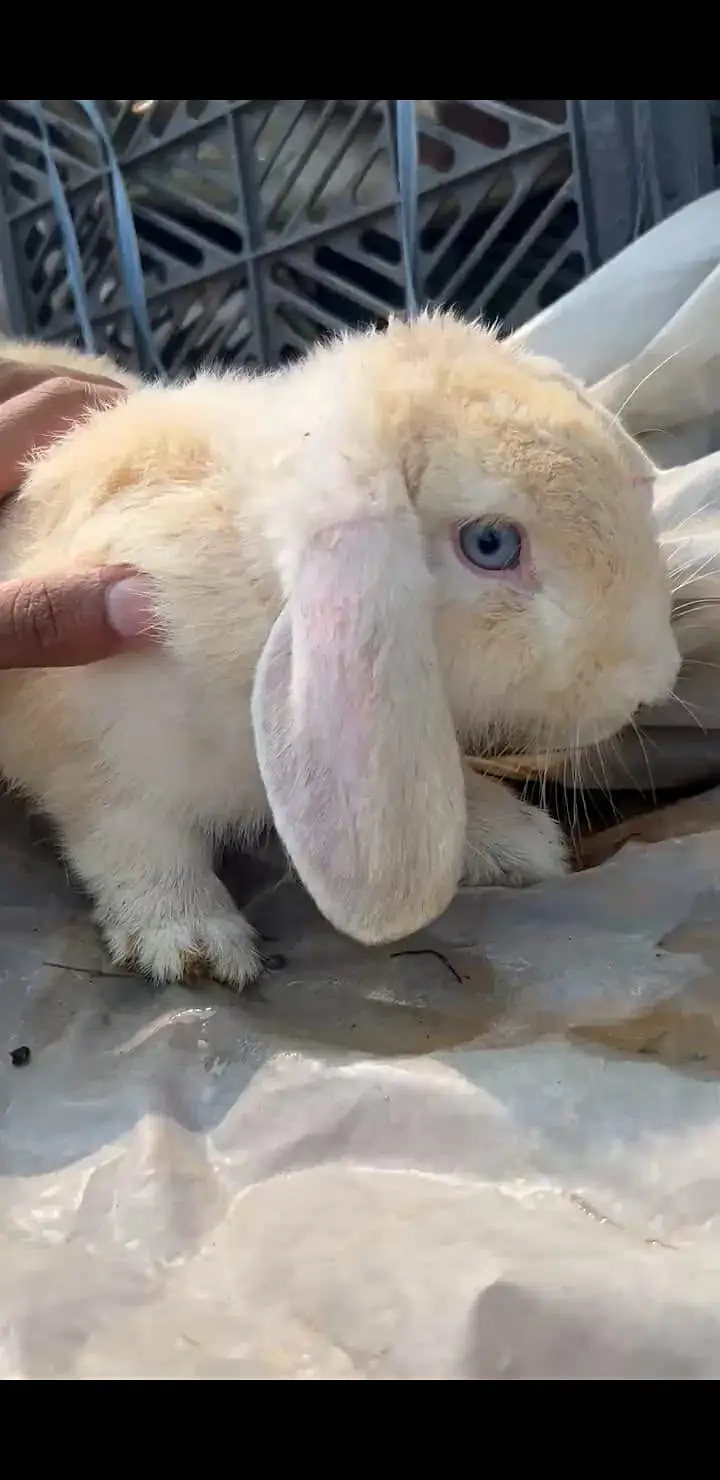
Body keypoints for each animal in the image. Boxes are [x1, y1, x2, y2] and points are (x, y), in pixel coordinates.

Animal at [0, 311, 680, 989]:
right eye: (490, 544)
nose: (655, 680)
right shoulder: (102, 758)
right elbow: (134, 842)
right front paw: (193, 943)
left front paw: (521, 840)